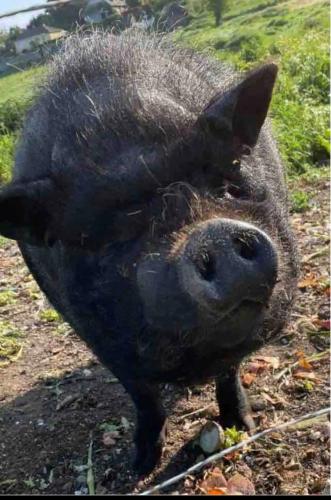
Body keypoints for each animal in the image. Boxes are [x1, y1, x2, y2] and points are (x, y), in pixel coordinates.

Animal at [0, 30, 298, 472]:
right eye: (114, 235)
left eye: (227, 185)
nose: (212, 234)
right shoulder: (98, 338)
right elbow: (143, 396)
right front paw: (140, 465)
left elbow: (230, 371)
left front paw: (241, 428)